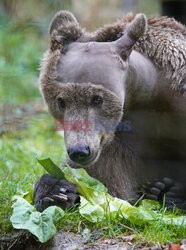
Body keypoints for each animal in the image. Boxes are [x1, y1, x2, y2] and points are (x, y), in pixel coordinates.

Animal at [33, 10, 186, 211]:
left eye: (97, 99)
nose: (79, 150)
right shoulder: (119, 140)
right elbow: (110, 177)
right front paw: (57, 191)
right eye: (61, 101)